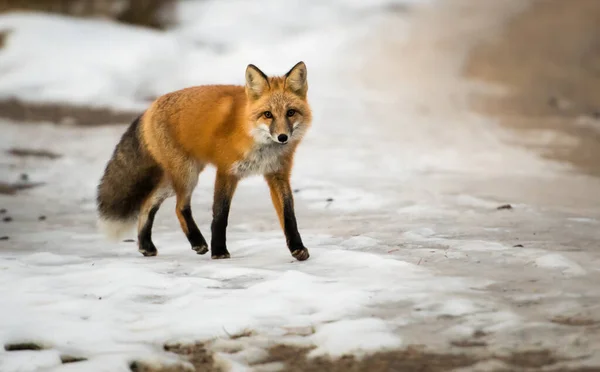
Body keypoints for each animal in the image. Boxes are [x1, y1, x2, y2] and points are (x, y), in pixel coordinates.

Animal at [96, 62, 312, 260]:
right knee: (179, 207)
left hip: (176, 179)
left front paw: (297, 248)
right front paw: (219, 251)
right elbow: (220, 215)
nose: (283, 137)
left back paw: (146, 245)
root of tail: (149, 108)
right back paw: (197, 242)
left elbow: (289, 214)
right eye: (268, 114)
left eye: (291, 112)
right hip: (187, 175)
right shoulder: (226, 171)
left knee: (147, 204)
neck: (256, 139)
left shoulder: (278, 174)